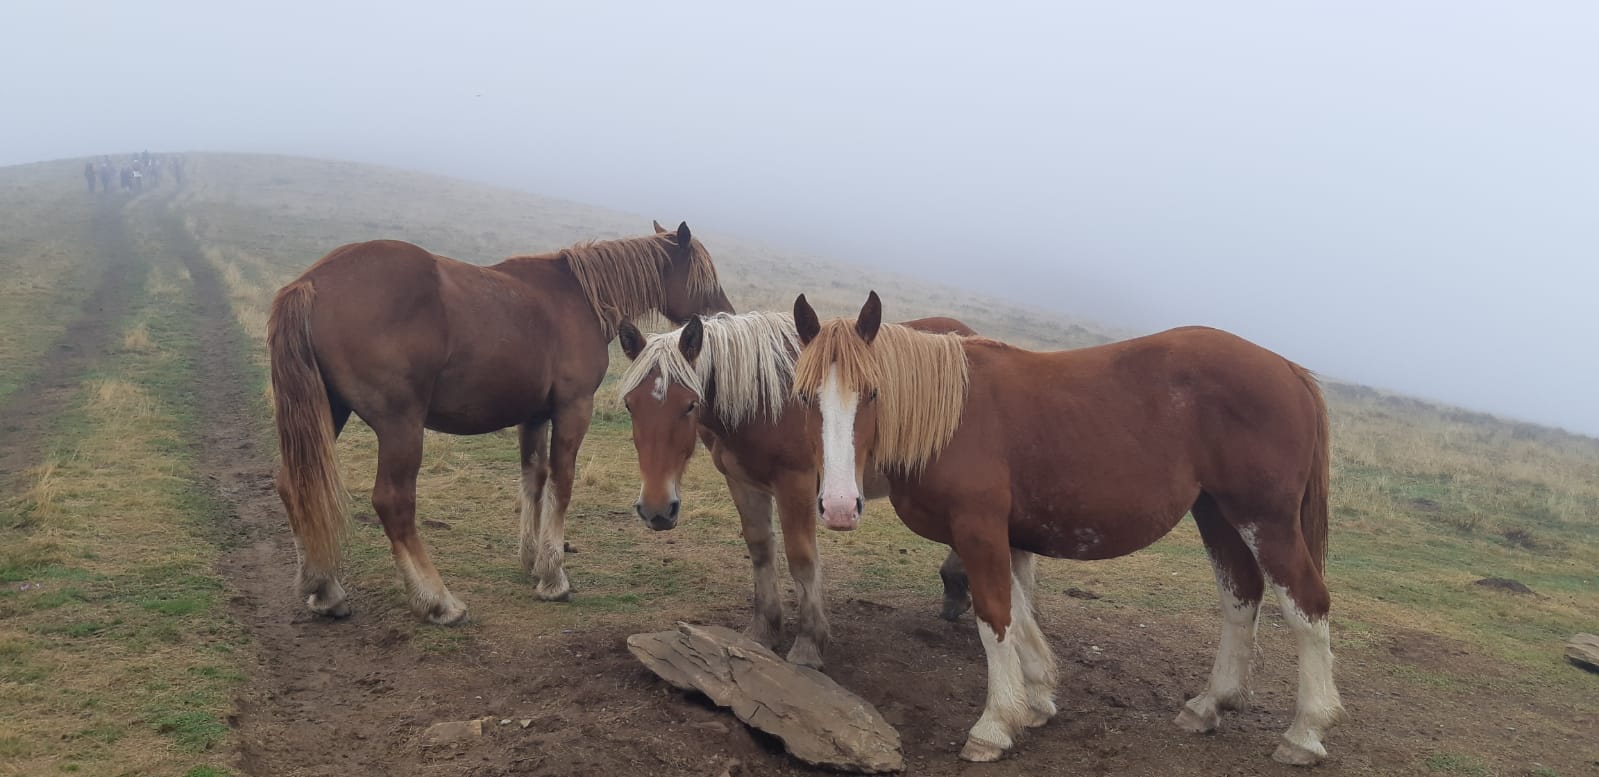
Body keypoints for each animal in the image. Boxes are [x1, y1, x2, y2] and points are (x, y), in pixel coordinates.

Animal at [267, 219, 732, 626]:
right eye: (705, 276)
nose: (722, 317)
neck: (576, 297)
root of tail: (311, 283)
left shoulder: (533, 416)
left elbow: (534, 480)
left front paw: (532, 559)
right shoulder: (572, 408)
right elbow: (562, 483)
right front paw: (554, 577)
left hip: (329, 411)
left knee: (294, 485)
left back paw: (323, 588)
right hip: (400, 426)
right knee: (393, 503)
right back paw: (436, 601)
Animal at [617, 310, 978, 668]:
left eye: (690, 405)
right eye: (630, 405)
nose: (657, 510)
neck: (766, 399)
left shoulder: (797, 485)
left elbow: (802, 560)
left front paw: (809, 643)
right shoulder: (742, 482)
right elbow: (760, 549)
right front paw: (763, 631)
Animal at [793, 290, 1343, 764]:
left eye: (872, 392)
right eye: (803, 398)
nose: (838, 506)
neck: (950, 419)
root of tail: (1287, 369)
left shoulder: (978, 529)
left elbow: (995, 618)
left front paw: (993, 725)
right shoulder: (1002, 537)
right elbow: (1018, 614)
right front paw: (1036, 701)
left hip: (1266, 520)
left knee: (1307, 605)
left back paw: (1305, 733)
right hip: (1216, 512)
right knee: (1240, 597)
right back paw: (1209, 705)